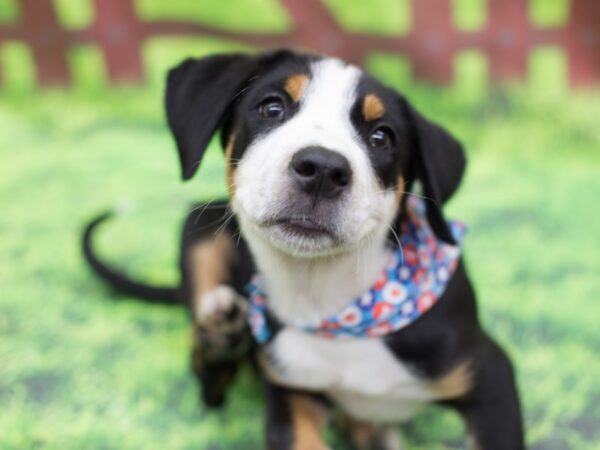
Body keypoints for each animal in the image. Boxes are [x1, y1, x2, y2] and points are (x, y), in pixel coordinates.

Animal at [82, 50, 524, 450]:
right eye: (272, 107)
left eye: (382, 136)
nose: (323, 169)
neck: (325, 300)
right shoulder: (289, 392)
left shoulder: (490, 376)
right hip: (200, 228)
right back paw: (222, 333)